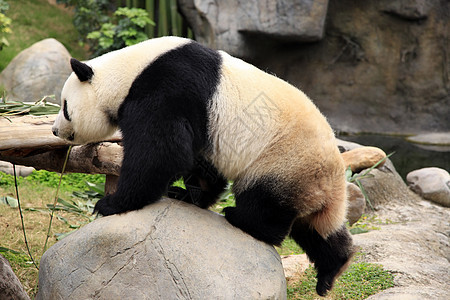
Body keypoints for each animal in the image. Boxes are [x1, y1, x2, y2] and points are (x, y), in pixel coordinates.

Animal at [51, 35, 356, 296]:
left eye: (65, 107)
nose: (55, 130)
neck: (128, 71)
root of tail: (334, 178)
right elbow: (198, 162)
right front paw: (188, 195)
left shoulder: (167, 87)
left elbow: (162, 152)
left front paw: (112, 204)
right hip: (305, 184)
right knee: (316, 230)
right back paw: (332, 270)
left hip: (282, 162)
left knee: (265, 205)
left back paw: (241, 218)